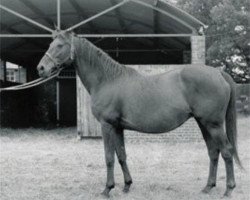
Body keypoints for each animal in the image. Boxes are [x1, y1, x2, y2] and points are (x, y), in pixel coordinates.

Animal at [37, 30, 242, 198]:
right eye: (50, 44)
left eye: (59, 45)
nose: (41, 68)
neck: (107, 80)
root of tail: (219, 73)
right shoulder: (118, 127)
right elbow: (121, 155)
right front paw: (127, 185)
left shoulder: (107, 125)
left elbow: (109, 157)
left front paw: (107, 189)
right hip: (203, 123)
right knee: (213, 152)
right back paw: (208, 187)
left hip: (213, 124)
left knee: (226, 151)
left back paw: (228, 189)